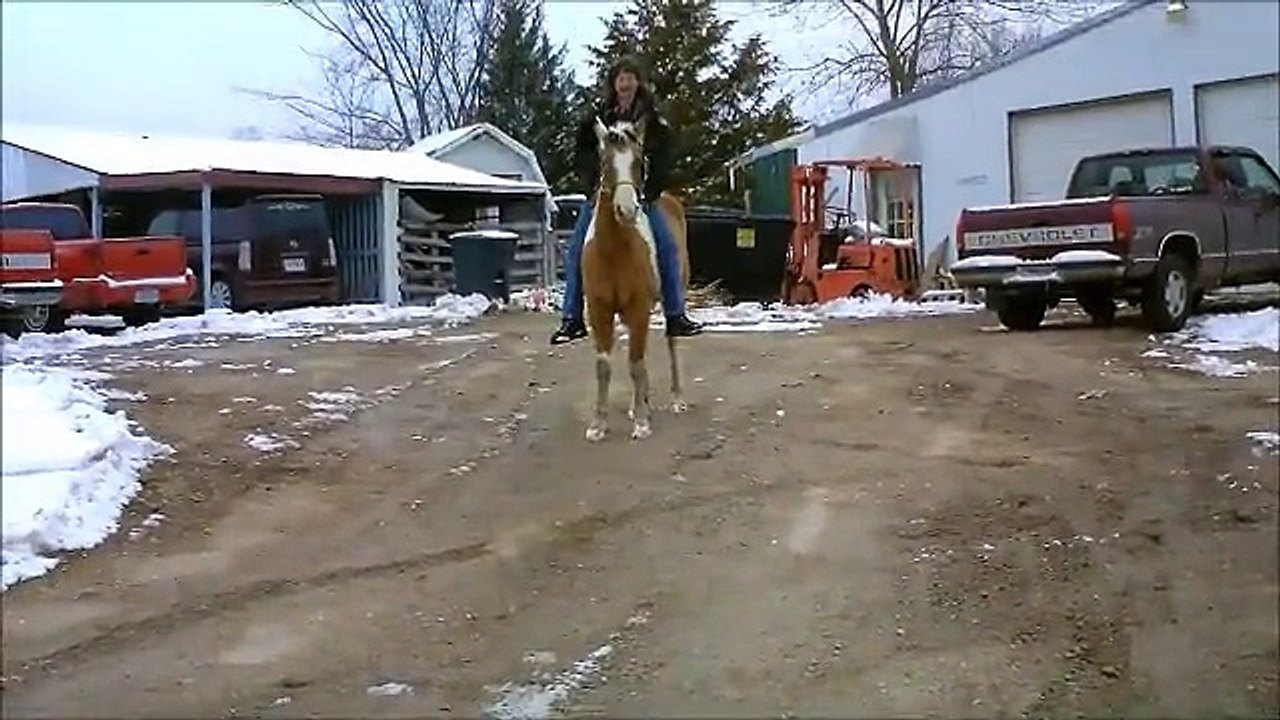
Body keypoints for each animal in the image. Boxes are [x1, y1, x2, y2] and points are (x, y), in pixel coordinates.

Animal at [580, 116, 689, 443]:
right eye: (605, 162)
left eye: (639, 162)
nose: (626, 210)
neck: (614, 248)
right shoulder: (600, 310)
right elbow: (605, 367)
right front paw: (598, 425)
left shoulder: (639, 307)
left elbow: (636, 363)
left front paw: (641, 422)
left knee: (670, 343)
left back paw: (676, 399)